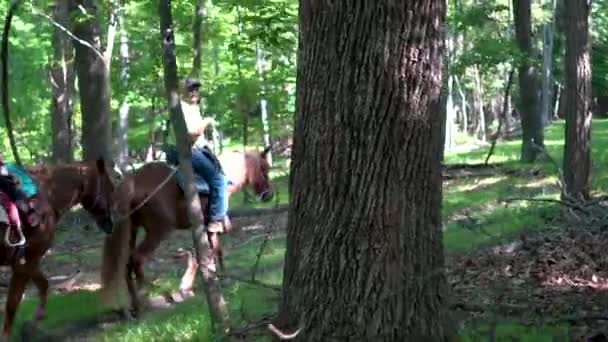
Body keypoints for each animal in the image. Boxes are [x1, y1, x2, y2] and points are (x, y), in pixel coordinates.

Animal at [0, 159, 118, 338]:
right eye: (110, 188)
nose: (110, 223)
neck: (46, 195)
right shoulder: (25, 262)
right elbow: (12, 305)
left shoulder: (24, 263)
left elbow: (43, 284)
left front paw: (36, 318)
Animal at [98, 146, 274, 314]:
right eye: (264, 168)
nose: (269, 195)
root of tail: (134, 181)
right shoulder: (209, 225)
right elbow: (205, 253)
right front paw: (191, 286)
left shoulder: (207, 227)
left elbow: (214, 250)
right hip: (158, 231)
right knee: (138, 258)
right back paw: (150, 298)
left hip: (132, 231)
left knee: (127, 263)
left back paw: (136, 305)